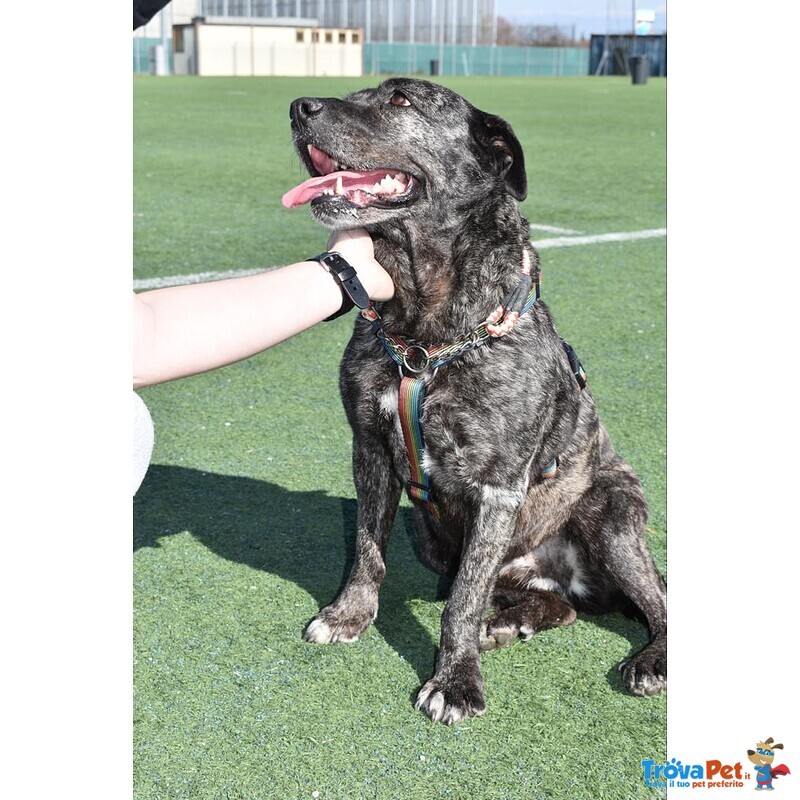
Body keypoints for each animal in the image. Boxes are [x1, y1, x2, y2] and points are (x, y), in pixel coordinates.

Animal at [282, 78, 668, 720]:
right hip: (434, 536)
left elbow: (462, 597)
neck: (423, 331)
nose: (297, 108)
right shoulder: (370, 452)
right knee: (559, 606)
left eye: (402, 100)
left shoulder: (497, 489)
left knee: (659, 601)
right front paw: (349, 615)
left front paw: (456, 680)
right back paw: (510, 623)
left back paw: (649, 659)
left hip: (612, 517)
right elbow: (366, 548)